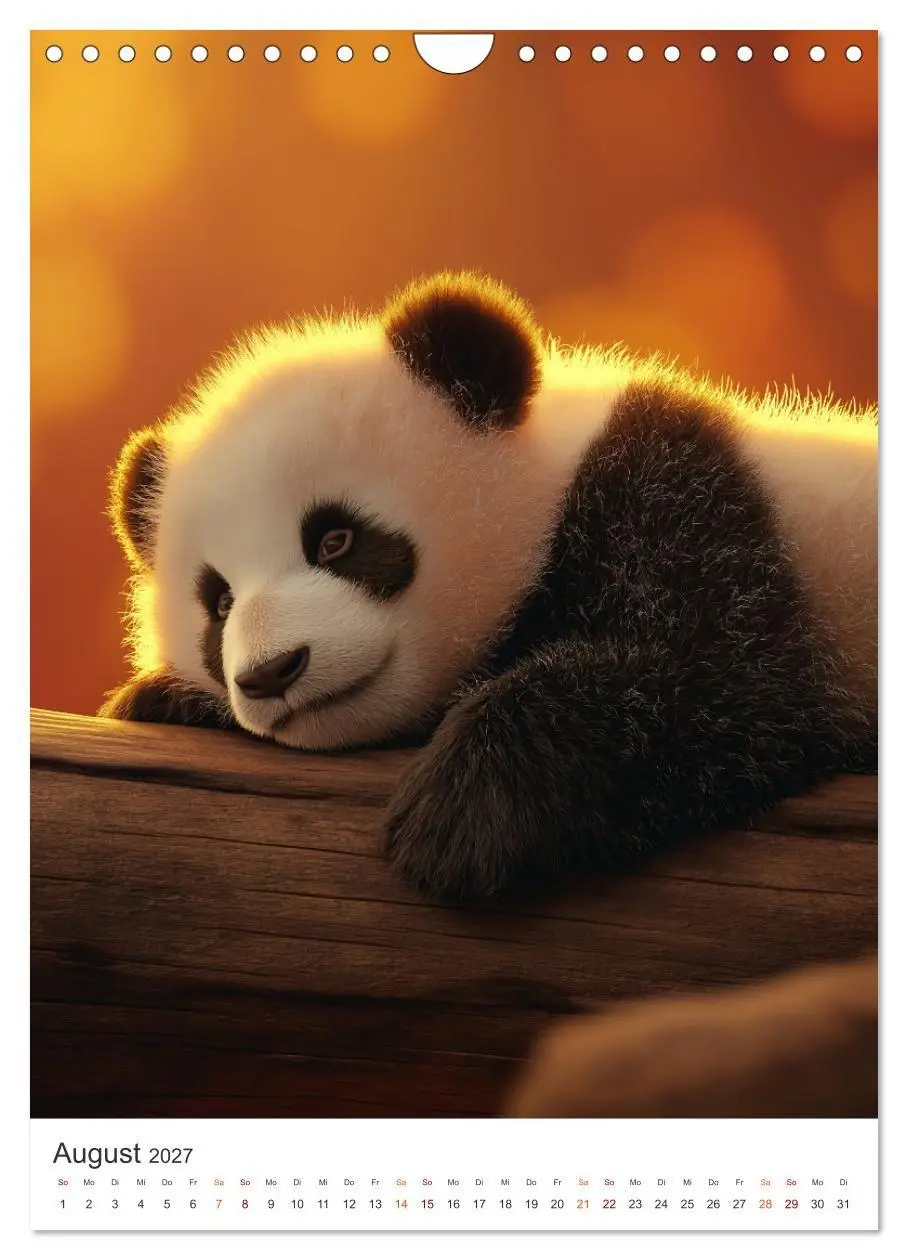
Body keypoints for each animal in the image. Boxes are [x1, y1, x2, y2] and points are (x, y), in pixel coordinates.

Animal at [100, 271, 878, 900]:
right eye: (219, 602)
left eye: (336, 540)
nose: (269, 673)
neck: (555, 480)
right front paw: (163, 698)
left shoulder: (689, 504)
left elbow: (720, 676)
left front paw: (463, 813)